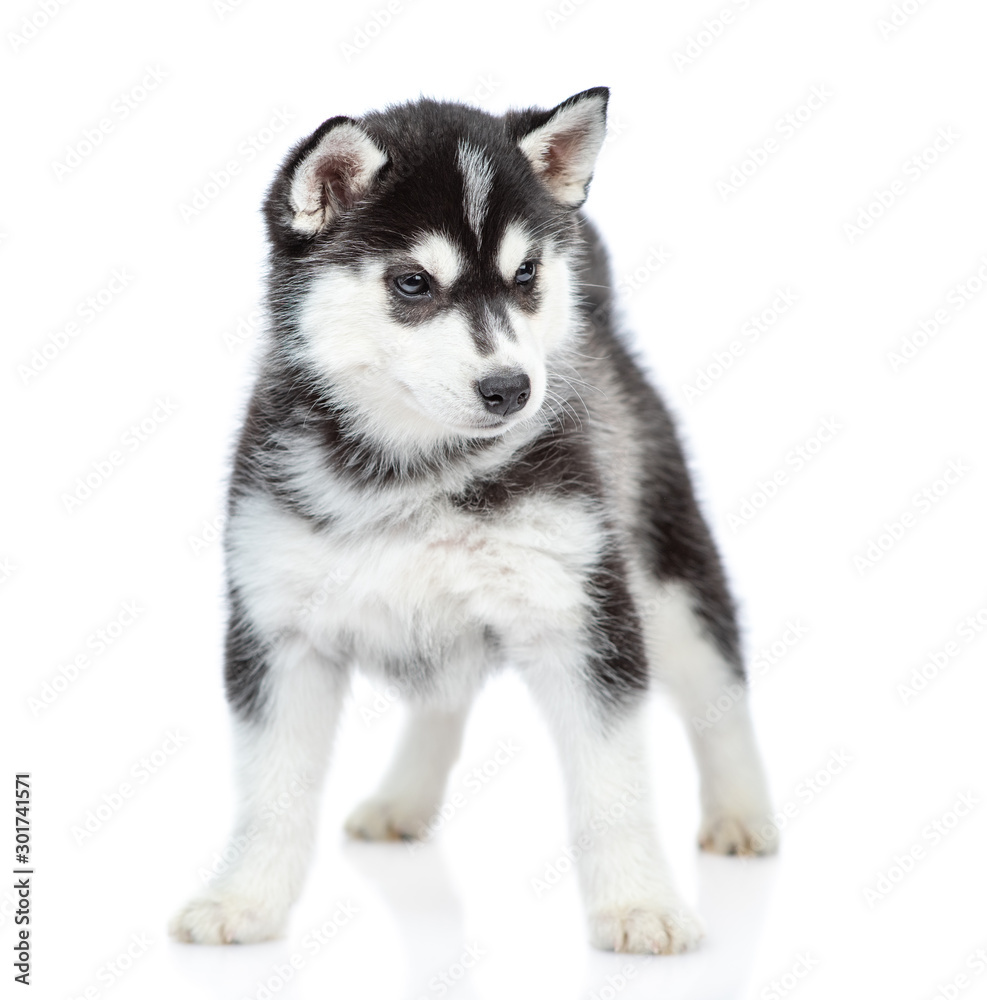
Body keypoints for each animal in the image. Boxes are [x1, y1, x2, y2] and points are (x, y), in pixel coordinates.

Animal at [172, 90, 780, 956]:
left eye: (525, 275)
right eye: (412, 282)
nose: (511, 389)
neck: (414, 472)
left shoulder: (580, 617)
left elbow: (612, 785)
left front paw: (637, 905)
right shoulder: (278, 629)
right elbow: (272, 790)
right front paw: (244, 899)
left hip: (665, 573)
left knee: (718, 692)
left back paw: (740, 812)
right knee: (442, 699)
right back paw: (403, 798)